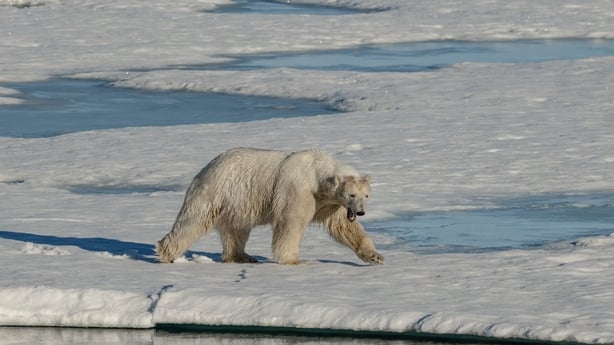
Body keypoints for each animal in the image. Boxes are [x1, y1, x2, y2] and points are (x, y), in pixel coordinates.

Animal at [155, 147, 384, 264]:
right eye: (351, 194)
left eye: (366, 195)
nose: (360, 212)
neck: (316, 173)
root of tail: (206, 167)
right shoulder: (298, 190)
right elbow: (290, 223)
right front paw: (295, 260)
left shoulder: (329, 203)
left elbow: (344, 227)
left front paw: (375, 256)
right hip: (215, 192)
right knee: (192, 222)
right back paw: (167, 253)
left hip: (238, 203)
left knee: (236, 229)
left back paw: (242, 256)